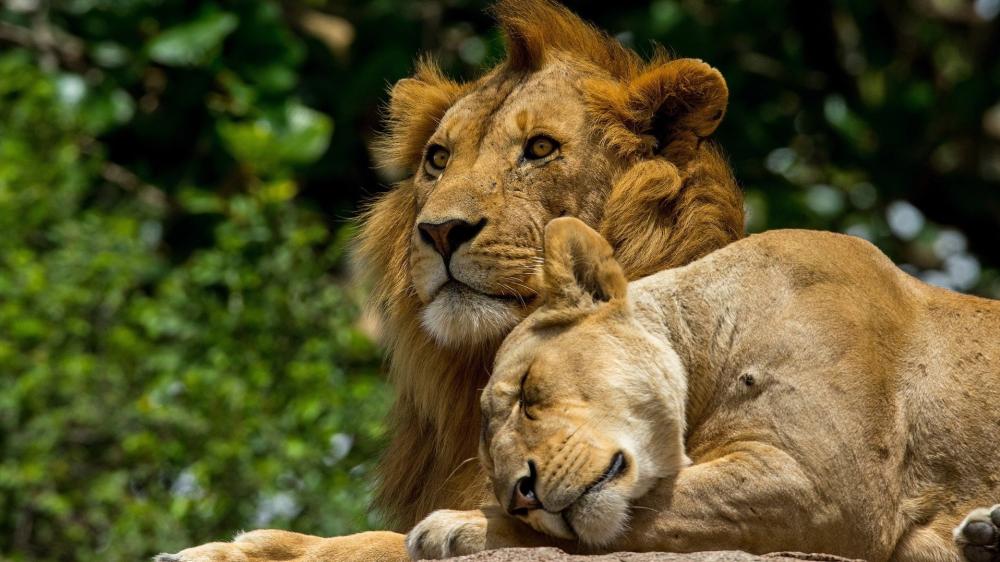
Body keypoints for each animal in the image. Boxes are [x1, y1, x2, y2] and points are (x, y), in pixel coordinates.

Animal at [406, 217, 1000, 562]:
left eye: (529, 391)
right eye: (490, 463)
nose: (520, 496)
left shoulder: (830, 485)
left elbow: (638, 515)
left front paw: (455, 527)